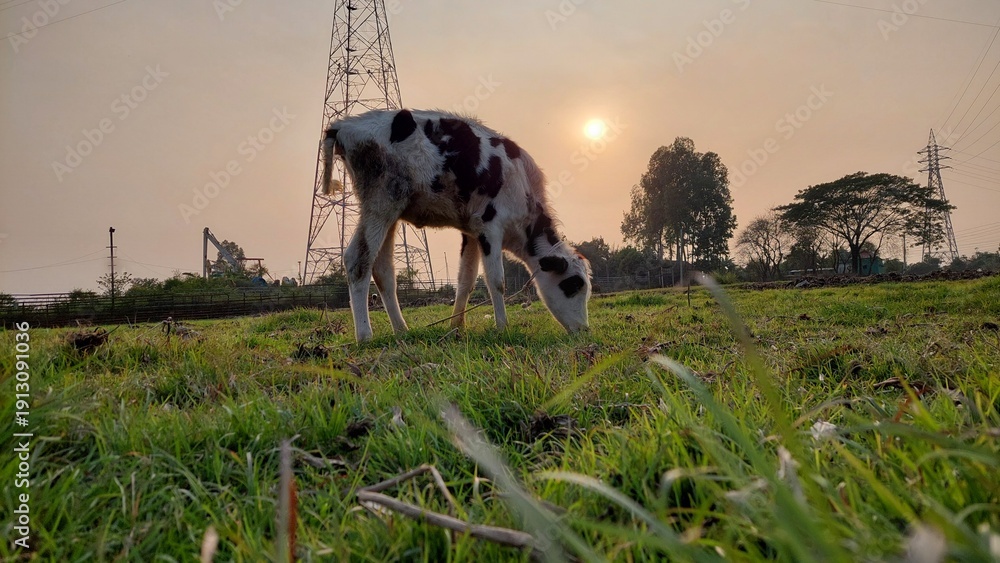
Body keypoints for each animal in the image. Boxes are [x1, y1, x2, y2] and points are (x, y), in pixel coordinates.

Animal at [322, 109, 591, 342]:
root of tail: (344, 125)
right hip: (380, 204)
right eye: (572, 285)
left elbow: (466, 281)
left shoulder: (472, 232)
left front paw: (456, 326)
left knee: (383, 270)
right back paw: (364, 335)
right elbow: (496, 281)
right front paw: (502, 327)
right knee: (358, 260)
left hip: (390, 214)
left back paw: (401, 330)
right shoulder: (490, 228)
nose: (584, 330)